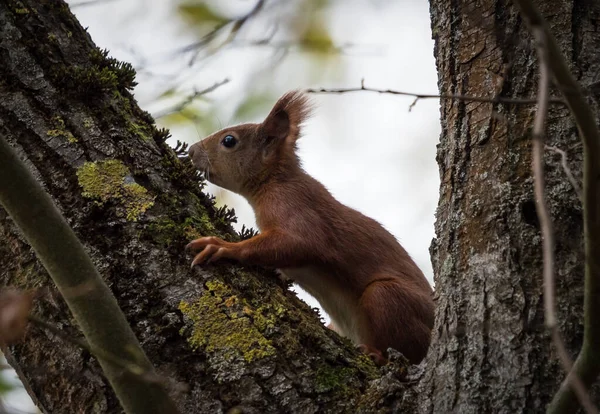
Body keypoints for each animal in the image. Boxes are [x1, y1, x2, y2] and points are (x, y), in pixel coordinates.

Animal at [185, 91, 434, 366]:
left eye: (229, 140)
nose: (191, 150)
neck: (275, 180)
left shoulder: (294, 206)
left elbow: (301, 243)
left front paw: (223, 246)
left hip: (388, 298)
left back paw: (376, 354)